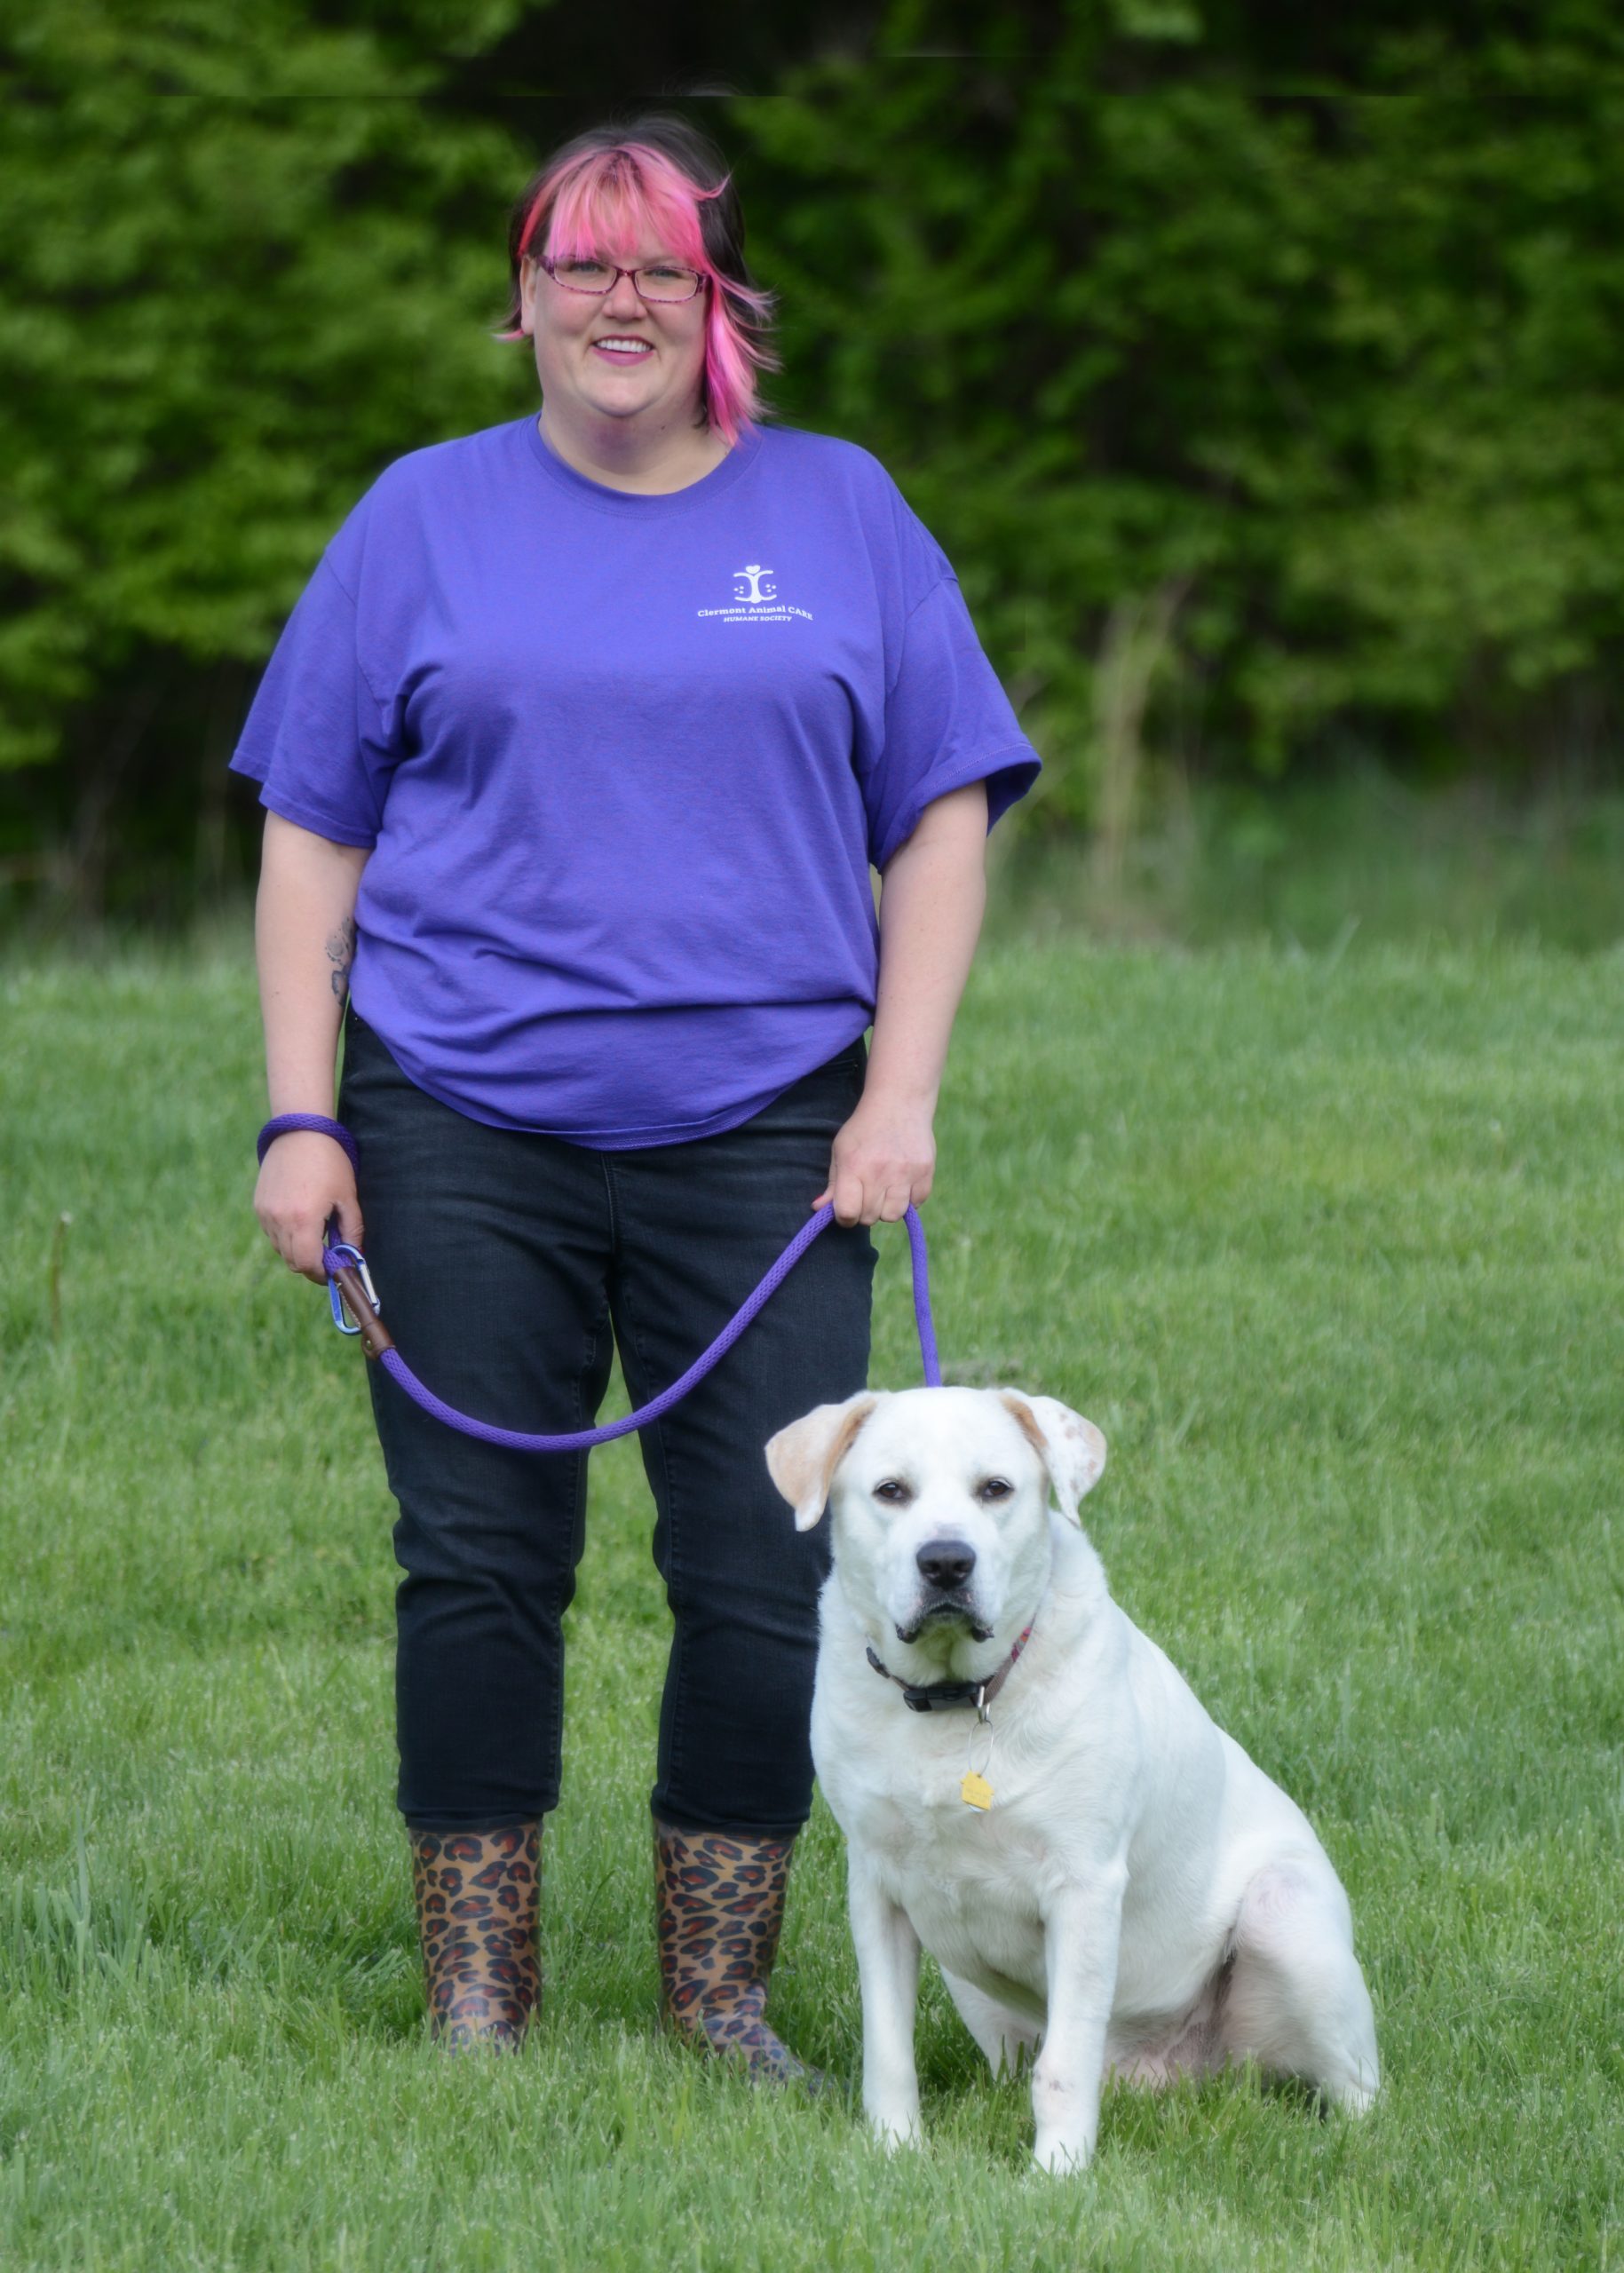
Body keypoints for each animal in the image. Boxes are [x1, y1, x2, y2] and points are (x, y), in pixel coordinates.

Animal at [764, 1373, 1374, 2173]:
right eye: (890, 1490)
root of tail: (1176, 2074)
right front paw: (895, 2152)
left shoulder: (1082, 1887)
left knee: (1356, 2086)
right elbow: (888, 2048)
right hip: (969, 1983)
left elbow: (1062, 2066)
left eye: (995, 1488)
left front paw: (1056, 2174)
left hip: (1286, 1917)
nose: (946, 1562)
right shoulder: (877, 1888)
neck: (956, 1702)